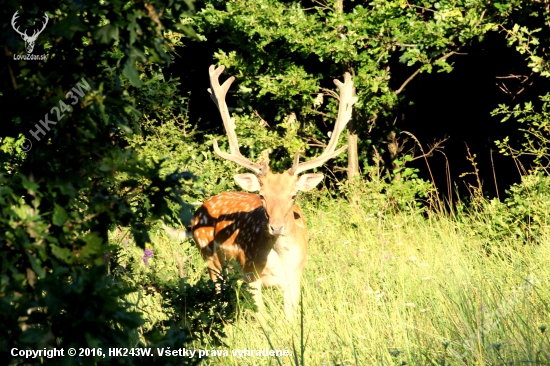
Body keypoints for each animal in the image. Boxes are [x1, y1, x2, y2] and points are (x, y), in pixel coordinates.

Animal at [185, 66, 356, 320]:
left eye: (293, 195)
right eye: (262, 195)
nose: (276, 227)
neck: (280, 260)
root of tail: (200, 209)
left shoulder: (295, 279)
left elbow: (291, 319)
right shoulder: (251, 276)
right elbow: (262, 319)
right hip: (209, 257)